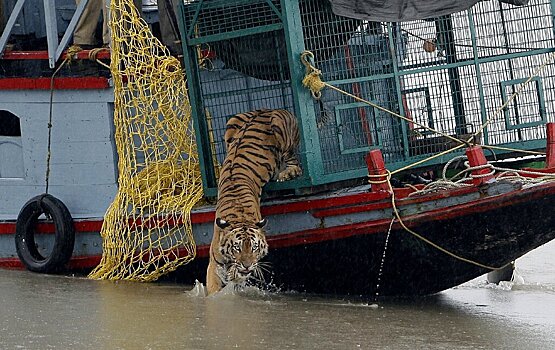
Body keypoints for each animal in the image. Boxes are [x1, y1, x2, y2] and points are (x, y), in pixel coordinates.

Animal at [207, 108, 302, 294]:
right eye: (237, 247)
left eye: (254, 247)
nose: (247, 266)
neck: (239, 217)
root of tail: (266, 109)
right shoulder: (214, 264)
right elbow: (213, 289)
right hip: (231, 123)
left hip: (279, 128)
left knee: (295, 164)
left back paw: (286, 174)